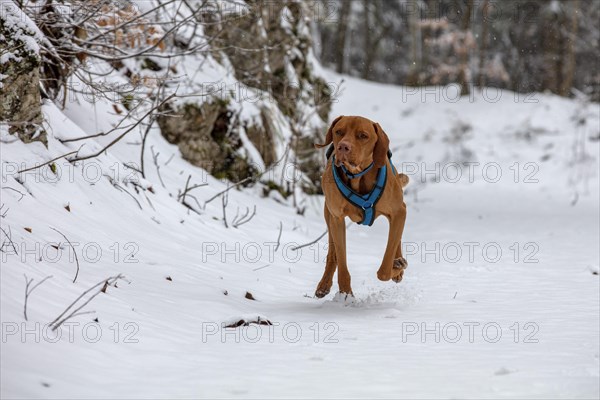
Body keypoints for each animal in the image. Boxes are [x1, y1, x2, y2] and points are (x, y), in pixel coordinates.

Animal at [314, 115, 408, 296]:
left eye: (363, 136)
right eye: (339, 132)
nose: (343, 147)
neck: (357, 175)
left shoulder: (399, 211)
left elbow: (384, 270)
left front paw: (396, 267)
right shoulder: (337, 219)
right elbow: (342, 262)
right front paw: (345, 295)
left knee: (397, 238)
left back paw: (398, 264)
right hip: (328, 215)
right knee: (332, 254)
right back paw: (323, 284)